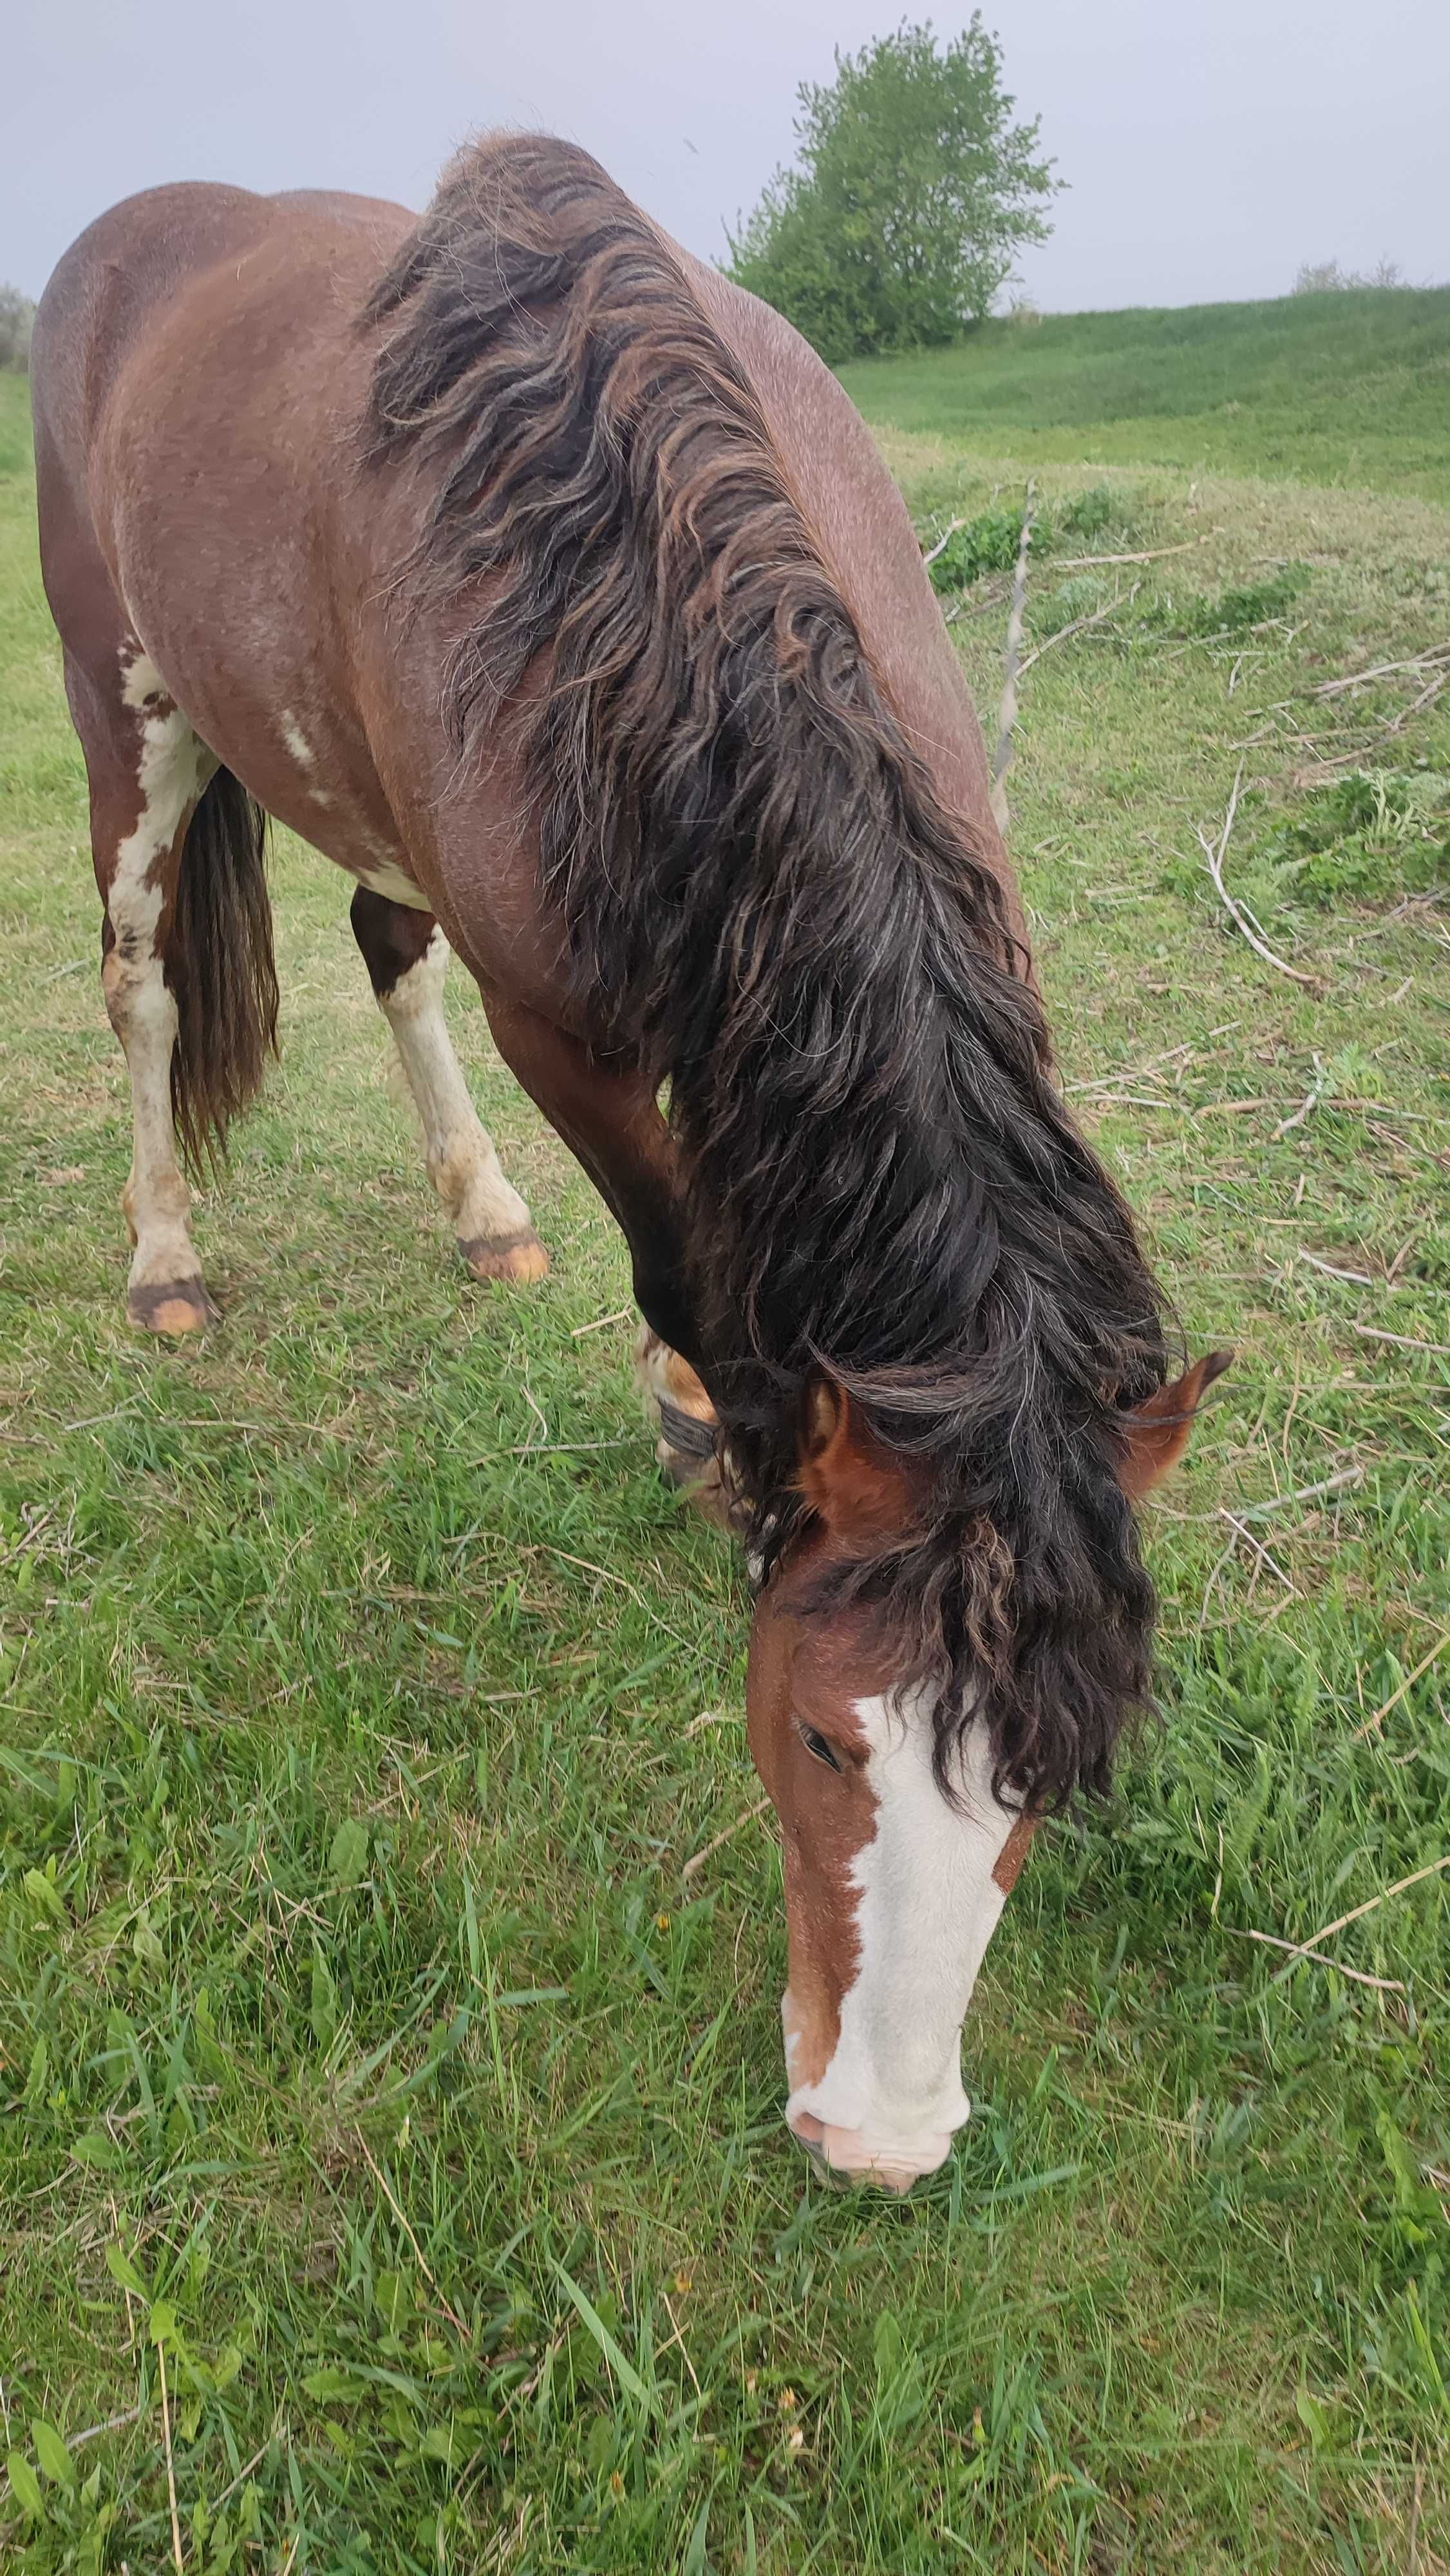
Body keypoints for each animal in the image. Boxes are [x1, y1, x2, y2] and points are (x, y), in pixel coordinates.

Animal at [31, 131, 1226, 2195]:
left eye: (1050, 1773)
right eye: (821, 1741)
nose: (879, 2141)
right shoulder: (560, 1033)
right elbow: (686, 1263)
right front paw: (715, 1436)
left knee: (383, 942)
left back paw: (481, 1214)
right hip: (130, 708)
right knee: (141, 978)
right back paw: (164, 1259)